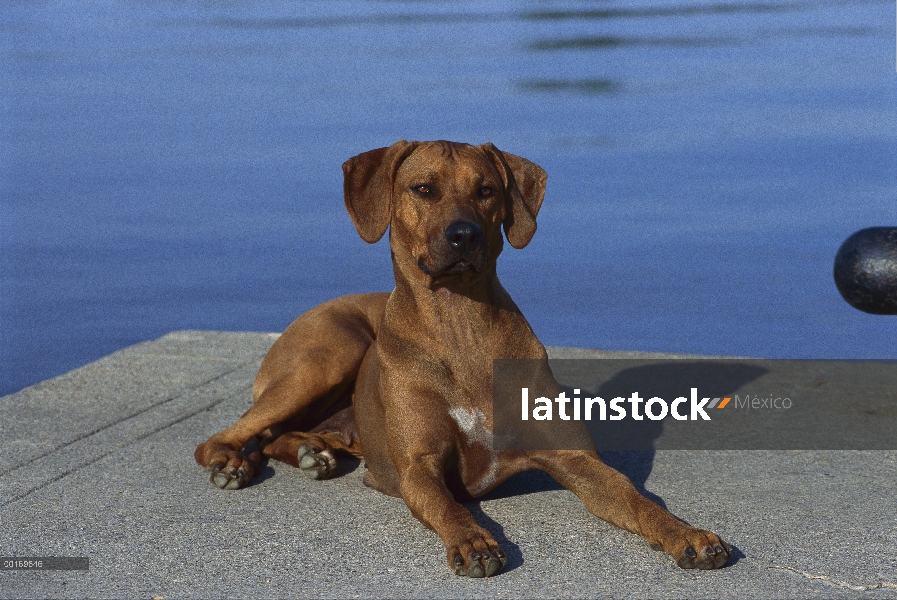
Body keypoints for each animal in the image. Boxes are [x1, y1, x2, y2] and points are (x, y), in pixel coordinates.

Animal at [194, 139, 728, 576]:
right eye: (423, 189)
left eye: (487, 190)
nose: (464, 235)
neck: (461, 326)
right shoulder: (418, 467)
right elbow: (450, 507)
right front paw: (474, 542)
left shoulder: (577, 460)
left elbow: (639, 501)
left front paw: (687, 534)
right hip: (329, 353)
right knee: (225, 437)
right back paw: (233, 464)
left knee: (274, 436)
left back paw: (311, 453)